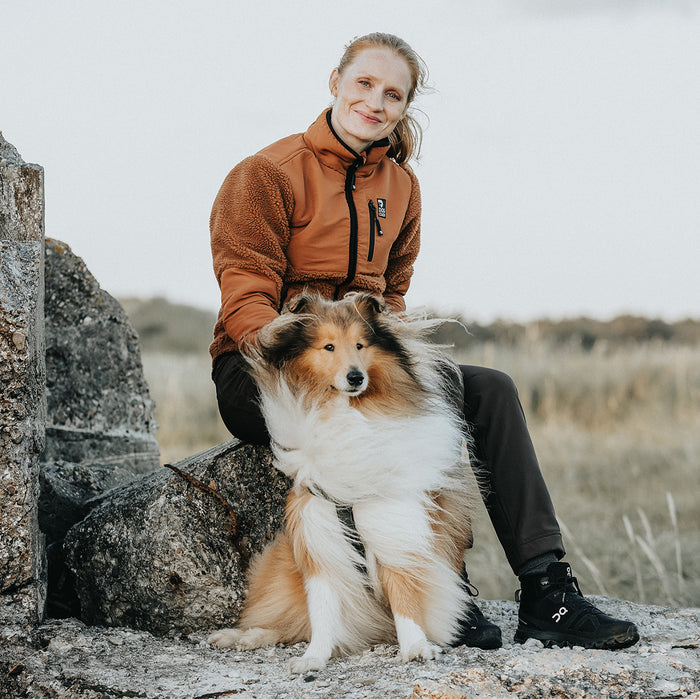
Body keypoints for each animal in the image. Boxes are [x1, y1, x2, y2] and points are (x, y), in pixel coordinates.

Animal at [205, 294, 474, 672]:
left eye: (361, 345)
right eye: (328, 346)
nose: (355, 377)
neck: (346, 413)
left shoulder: (396, 529)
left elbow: (404, 594)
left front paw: (416, 647)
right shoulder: (318, 540)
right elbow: (322, 610)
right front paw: (314, 658)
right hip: (280, 566)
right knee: (286, 622)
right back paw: (239, 637)